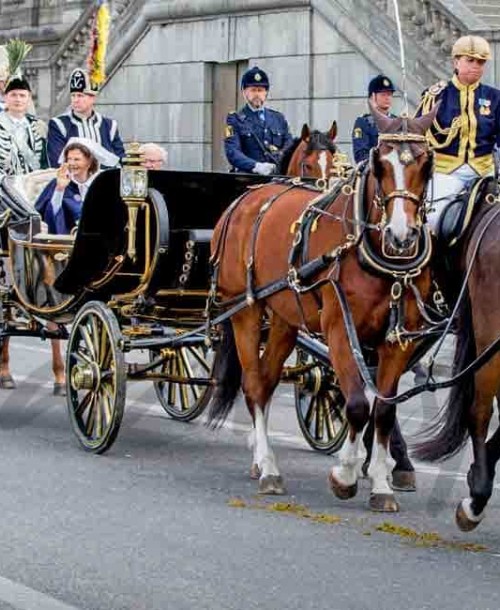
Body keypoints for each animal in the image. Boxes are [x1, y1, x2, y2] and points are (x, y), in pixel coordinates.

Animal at [209, 104, 436, 508]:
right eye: (380, 163)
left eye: (425, 164)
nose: (401, 235)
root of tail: (243, 201)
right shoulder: (339, 331)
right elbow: (357, 404)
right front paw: (345, 474)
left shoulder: (398, 339)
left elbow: (384, 409)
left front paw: (380, 484)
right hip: (245, 310)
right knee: (253, 384)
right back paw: (268, 467)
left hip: (284, 320)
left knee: (267, 382)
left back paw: (261, 459)